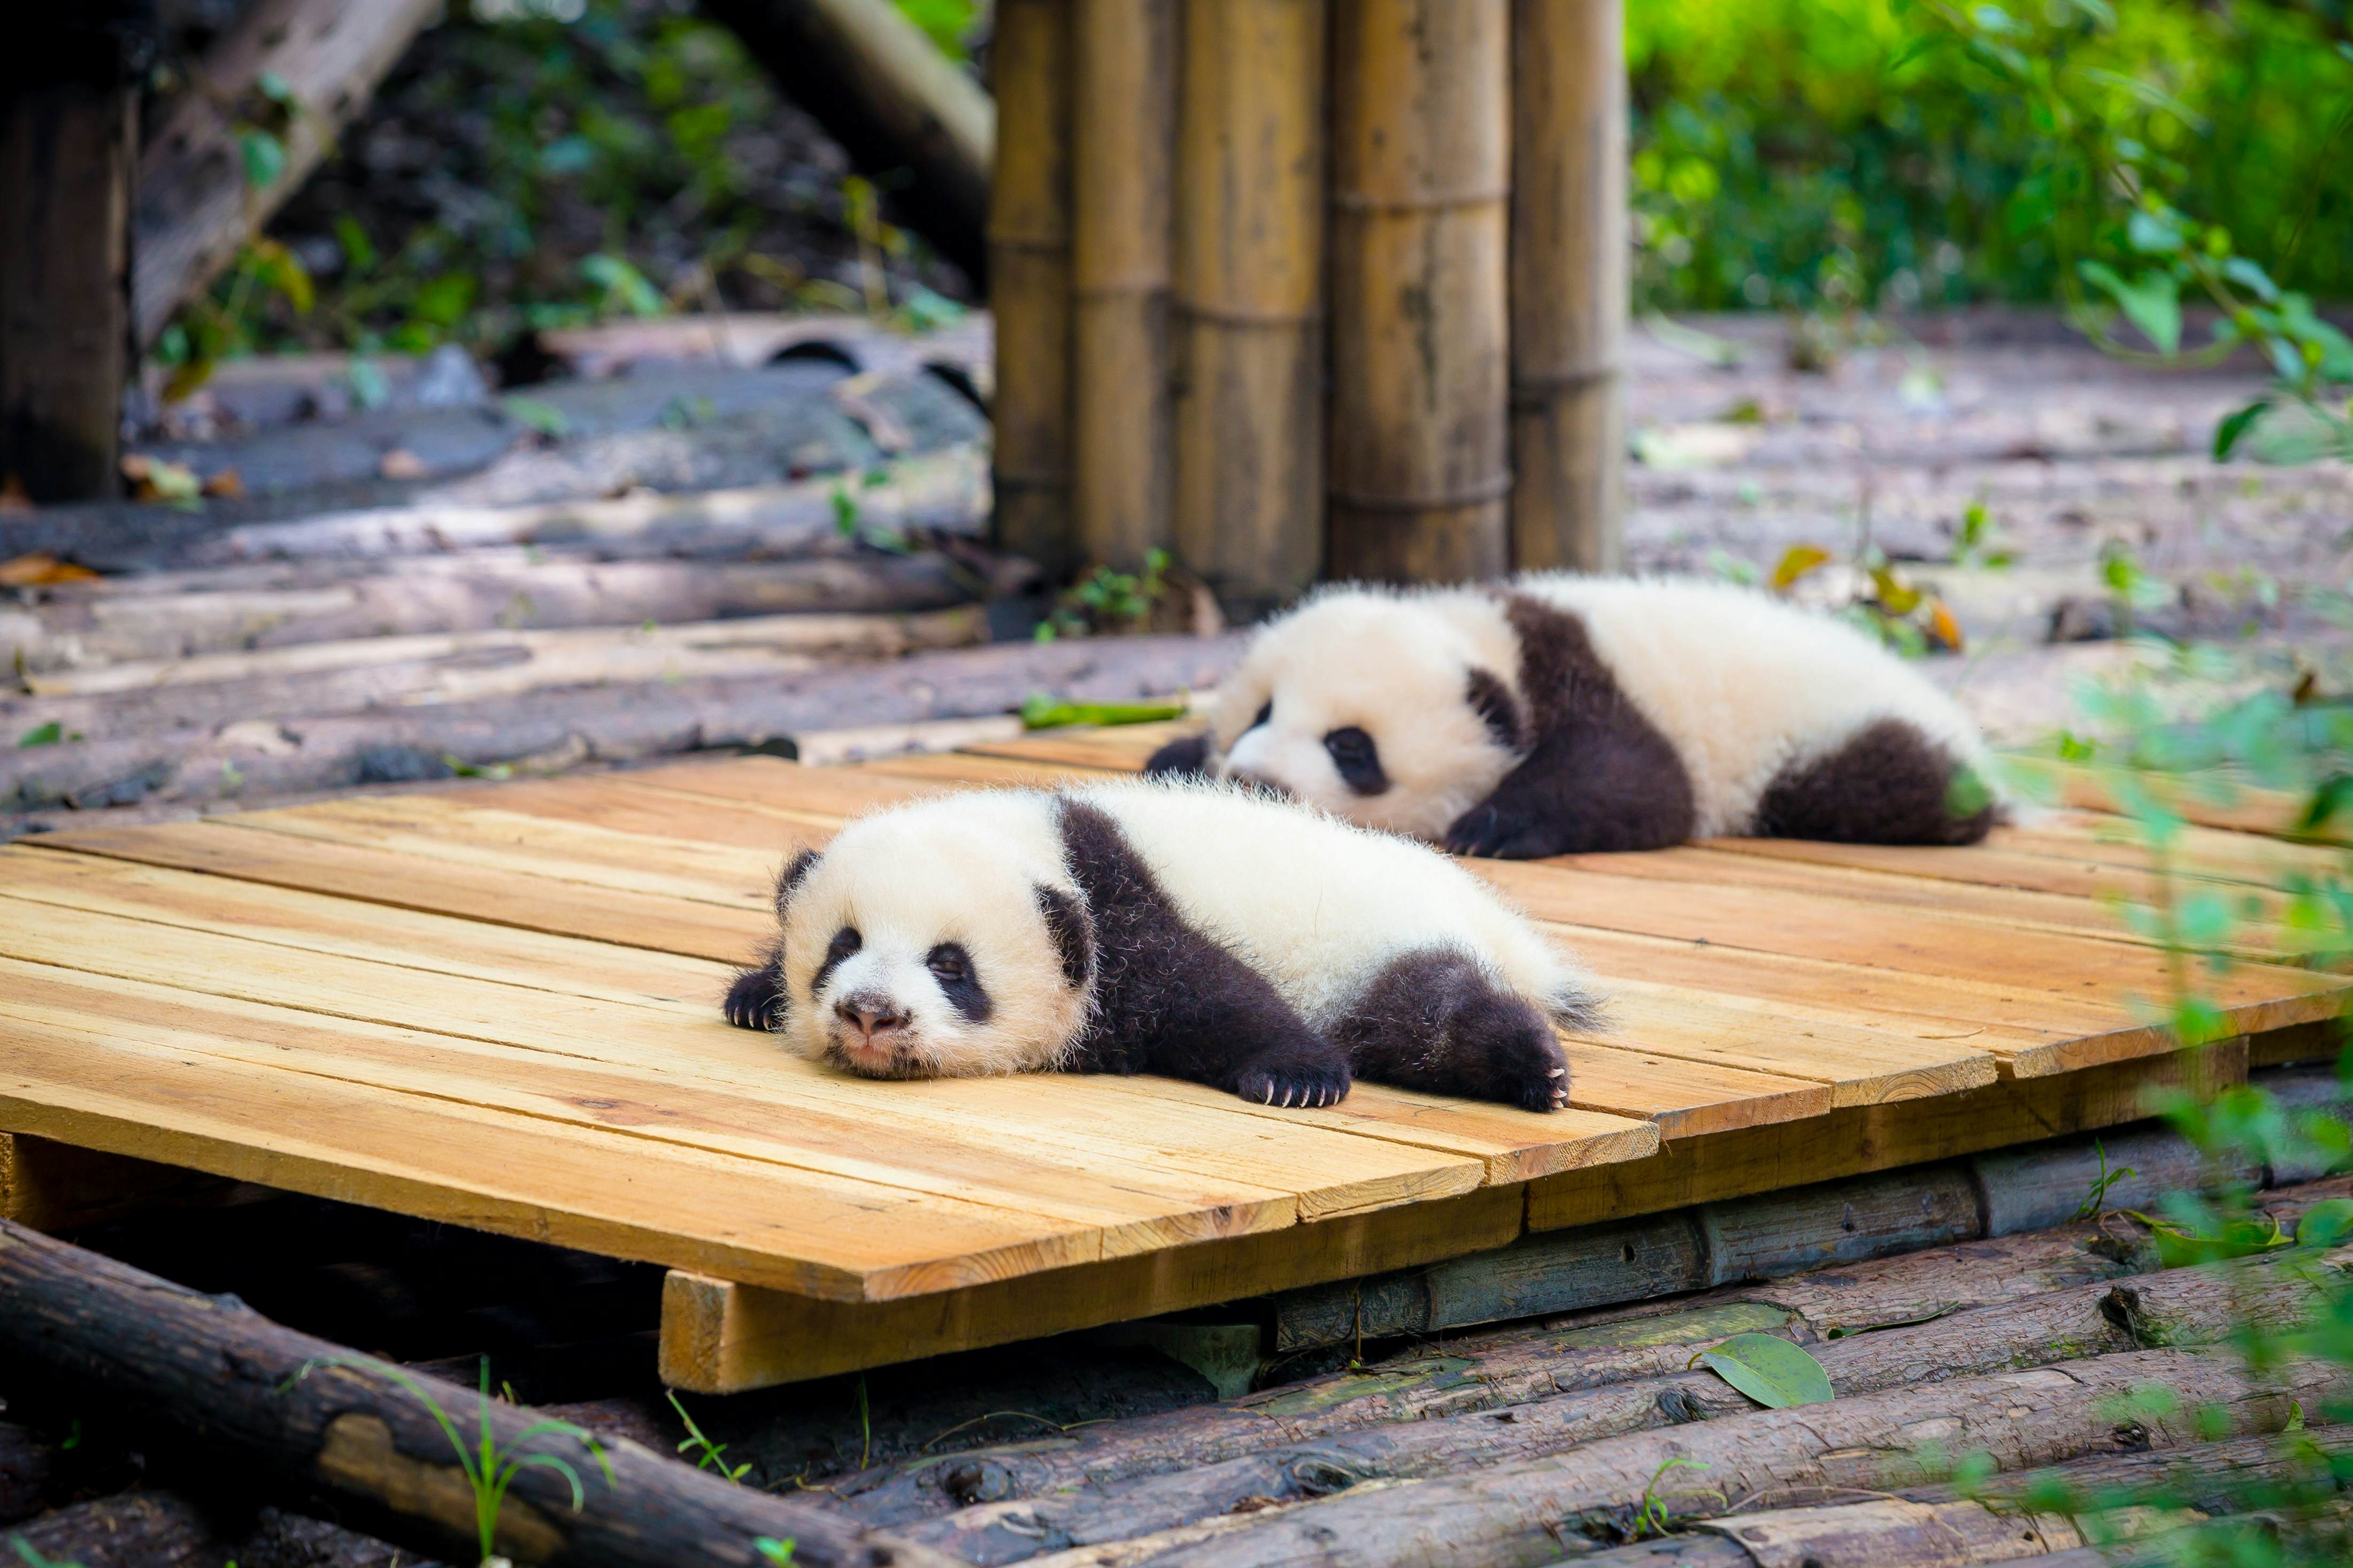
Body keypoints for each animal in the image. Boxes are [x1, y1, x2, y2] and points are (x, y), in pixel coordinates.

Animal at [715, 780, 1600, 1109]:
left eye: (950, 966)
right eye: (843, 945)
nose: (871, 1014)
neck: (1039, 840)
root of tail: (1491, 915)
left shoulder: (1125, 915)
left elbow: (1218, 995)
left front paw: (1297, 1078)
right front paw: (755, 994)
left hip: (1383, 941)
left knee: (1433, 1012)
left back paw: (1535, 1069)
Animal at [1148, 573, 1995, 851]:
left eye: (1351, 747)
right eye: (1260, 712)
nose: (1255, 779)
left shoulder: (1592, 687)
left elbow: (1640, 784)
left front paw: (1494, 826)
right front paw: (1175, 757)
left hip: (1831, 738)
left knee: (1886, 783)